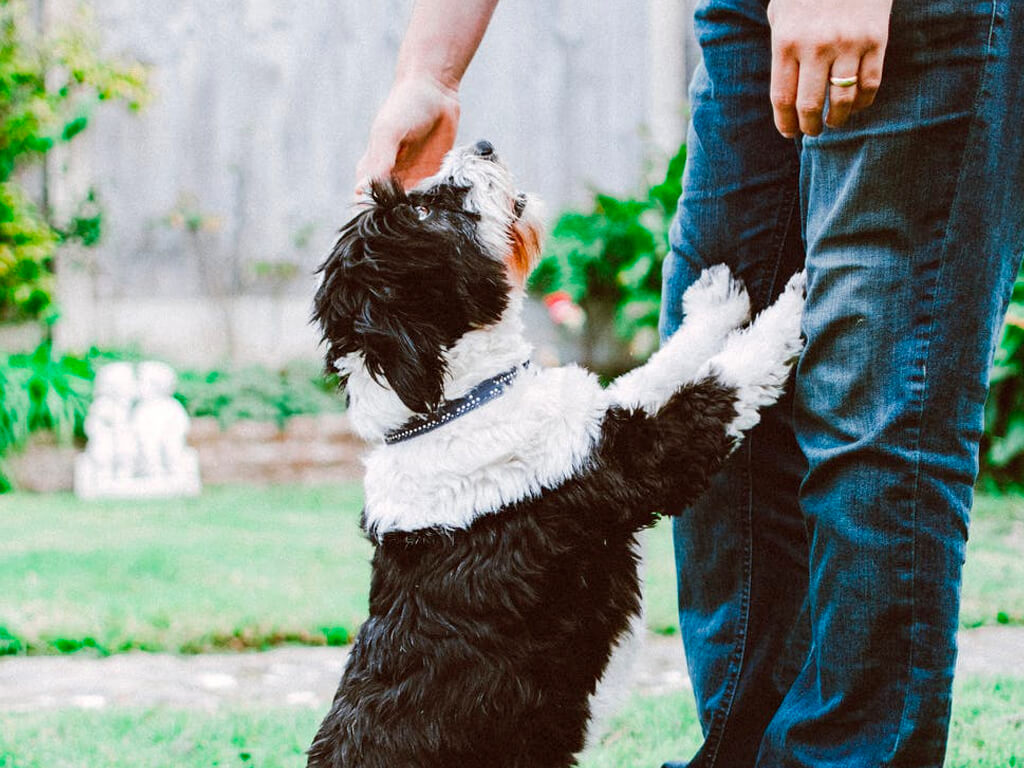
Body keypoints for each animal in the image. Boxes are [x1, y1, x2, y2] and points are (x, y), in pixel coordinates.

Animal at [307, 141, 802, 765]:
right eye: (423, 213)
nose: (483, 144)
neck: (450, 408)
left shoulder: (599, 422)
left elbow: (657, 368)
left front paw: (714, 305)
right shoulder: (638, 461)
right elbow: (722, 383)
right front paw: (798, 299)